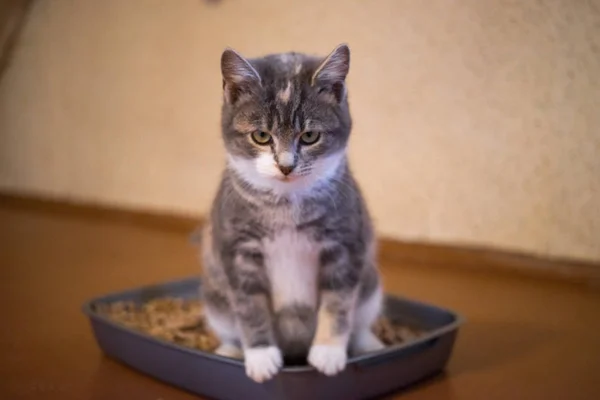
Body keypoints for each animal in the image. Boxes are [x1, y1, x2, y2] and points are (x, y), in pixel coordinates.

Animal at [199, 44, 382, 384]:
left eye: (309, 136)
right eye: (261, 136)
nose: (286, 166)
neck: (285, 205)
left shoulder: (345, 242)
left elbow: (338, 301)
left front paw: (328, 353)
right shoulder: (237, 249)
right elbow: (249, 306)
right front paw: (260, 357)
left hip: (371, 287)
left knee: (361, 319)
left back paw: (369, 344)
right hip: (215, 300)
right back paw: (230, 350)